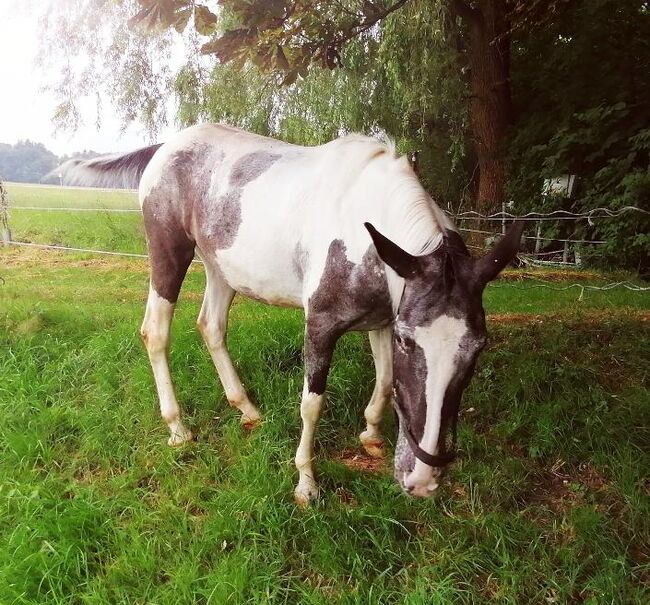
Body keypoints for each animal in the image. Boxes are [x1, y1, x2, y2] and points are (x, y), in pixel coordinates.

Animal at [57, 122, 520, 500]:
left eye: (477, 347)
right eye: (410, 340)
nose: (422, 480)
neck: (363, 228)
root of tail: (167, 146)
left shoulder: (384, 316)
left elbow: (387, 380)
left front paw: (371, 434)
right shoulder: (322, 325)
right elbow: (312, 404)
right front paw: (305, 483)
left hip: (219, 268)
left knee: (211, 326)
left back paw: (246, 409)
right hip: (169, 255)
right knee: (156, 331)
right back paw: (178, 428)